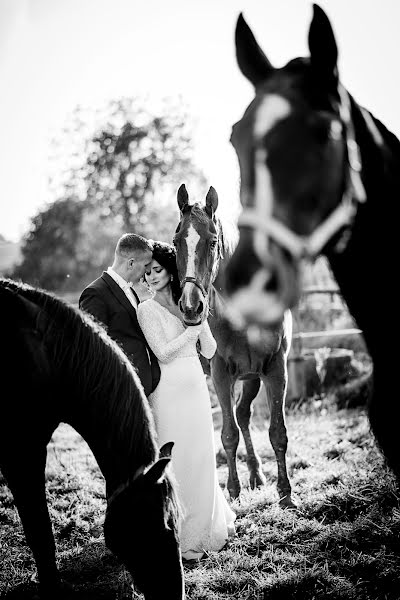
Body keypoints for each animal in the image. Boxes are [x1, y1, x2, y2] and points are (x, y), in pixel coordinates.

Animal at [173, 185, 294, 504]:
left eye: (213, 241)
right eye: (176, 242)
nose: (190, 307)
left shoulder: (275, 368)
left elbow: (277, 432)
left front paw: (286, 494)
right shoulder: (220, 374)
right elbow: (229, 433)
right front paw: (233, 490)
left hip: (252, 377)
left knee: (243, 413)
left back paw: (256, 473)